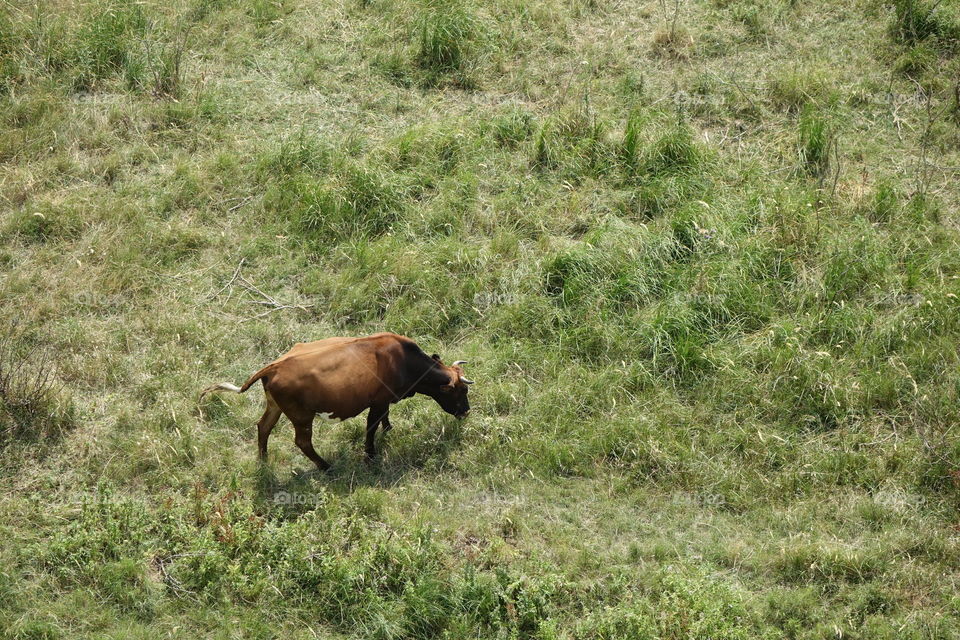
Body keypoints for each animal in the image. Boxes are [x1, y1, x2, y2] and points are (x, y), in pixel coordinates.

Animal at [201, 336, 474, 470]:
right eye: (461, 390)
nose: (466, 411)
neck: (404, 361)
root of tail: (275, 365)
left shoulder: (385, 401)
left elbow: (384, 419)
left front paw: (389, 429)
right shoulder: (377, 401)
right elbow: (371, 427)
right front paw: (370, 455)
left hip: (275, 406)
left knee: (263, 427)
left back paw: (264, 459)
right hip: (301, 416)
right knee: (302, 442)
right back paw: (325, 466)